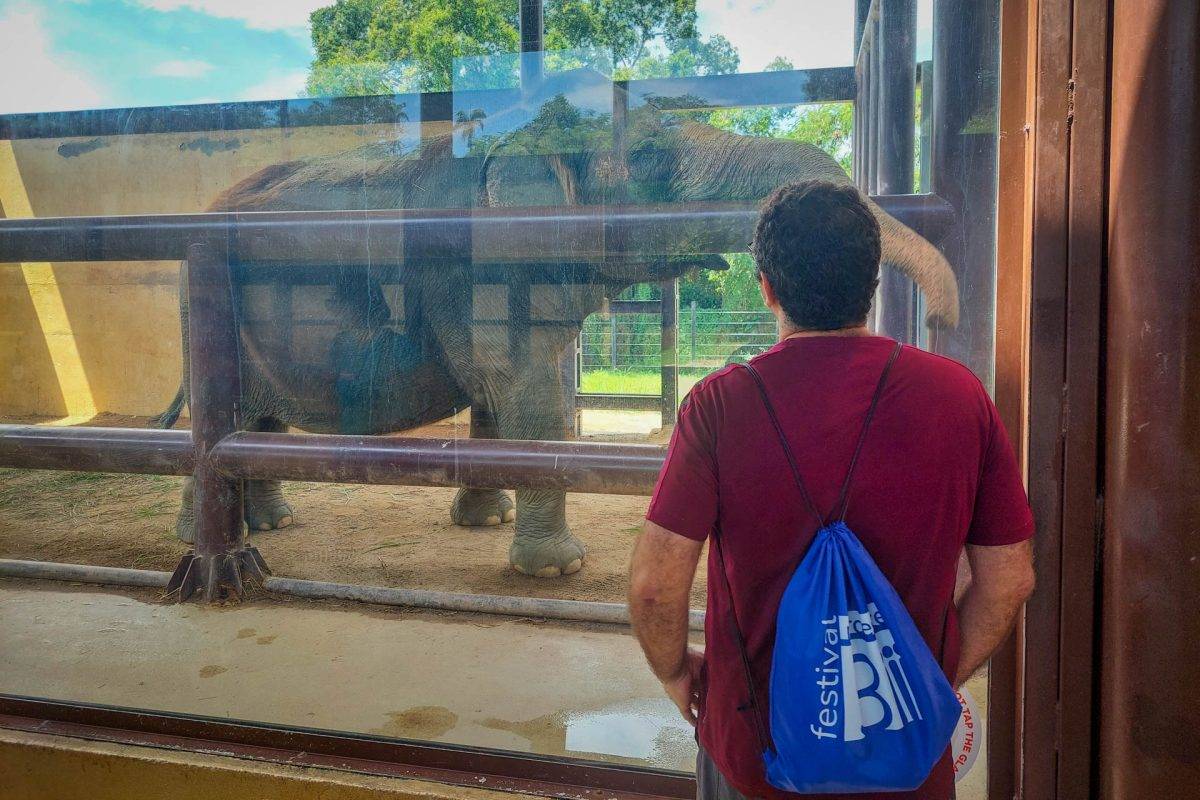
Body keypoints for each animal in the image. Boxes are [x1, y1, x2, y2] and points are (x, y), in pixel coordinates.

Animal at [155, 79, 959, 578]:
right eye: (652, 158)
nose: (945, 318)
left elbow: (499, 398)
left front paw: (484, 520)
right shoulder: (489, 265)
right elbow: (534, 396)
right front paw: (560, 569)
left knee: (255, 419)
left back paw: (275, 525)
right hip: (208, 308)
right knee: (224, 413)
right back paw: (209, 547)